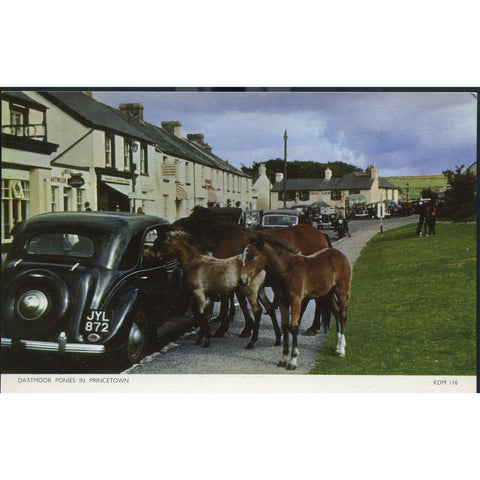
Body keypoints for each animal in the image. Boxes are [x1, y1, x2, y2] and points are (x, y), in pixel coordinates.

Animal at [171, 205, 332, 344]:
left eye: (191, 220)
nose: (171, 226)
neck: (220, 237)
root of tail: (321, 234)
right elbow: (240, 302)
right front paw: (246, 327)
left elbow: (229, 302)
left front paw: (226, 328)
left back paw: (312, 326)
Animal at [239, 236, 348, 372]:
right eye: (243, 257)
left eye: (252, 257)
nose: (242, 280)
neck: (286, 269)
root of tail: (340, 254)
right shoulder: (282, 301)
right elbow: (285, 327)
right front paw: (283, 359)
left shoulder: (296, 300)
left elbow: (294, 327)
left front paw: (293, 361)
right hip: (327, 294)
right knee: (337, 312)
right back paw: (337, 347)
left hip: (341, 290)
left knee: (343, 314)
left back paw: (342, 349)